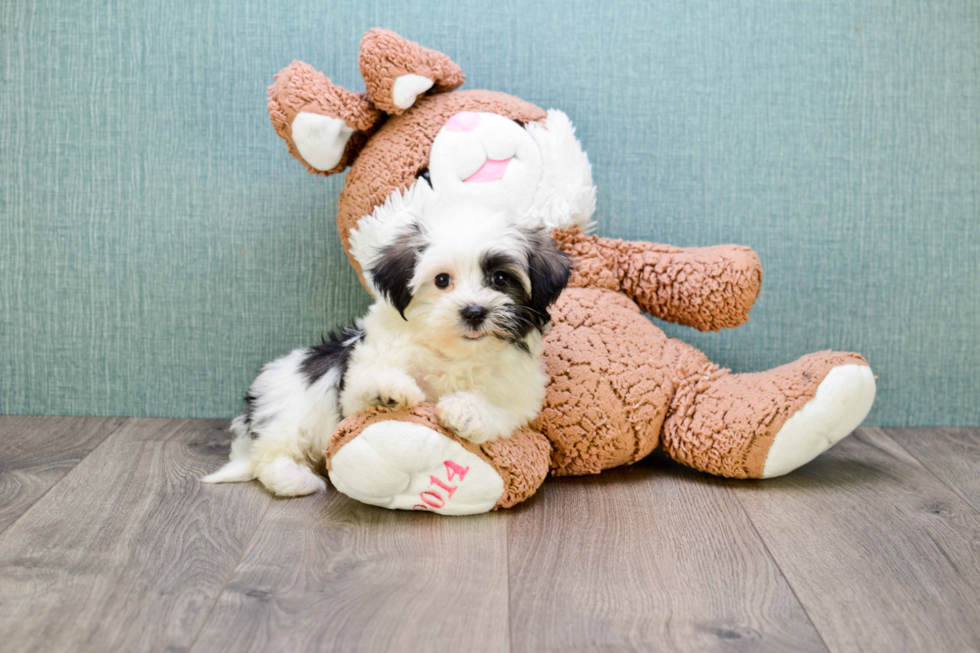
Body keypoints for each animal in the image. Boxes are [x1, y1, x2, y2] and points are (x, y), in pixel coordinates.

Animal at [202, 201, 572, 496]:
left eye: (500, 279)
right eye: (442, 280)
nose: (474, 311)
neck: (453, 354)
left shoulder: (518, 397)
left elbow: (499, 409)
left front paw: (466, 411)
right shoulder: (358, 379)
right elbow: (365, 388)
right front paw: (387, 391)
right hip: (288, 408)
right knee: (271, 455)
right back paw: (295, 479)